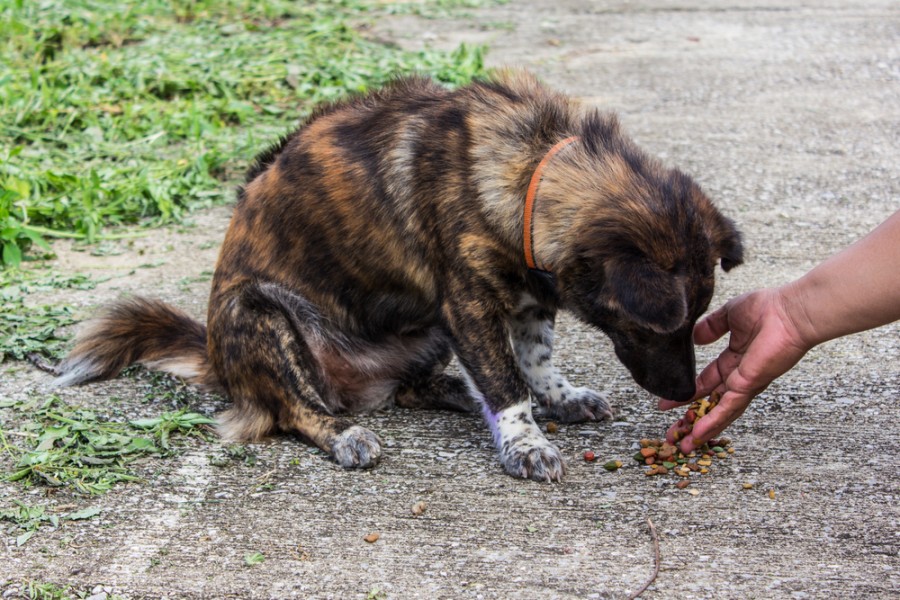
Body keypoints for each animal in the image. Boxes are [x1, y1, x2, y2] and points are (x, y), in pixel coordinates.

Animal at [58, 70, 744, 482]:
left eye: (698, 316)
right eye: (660, 326)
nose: (687, 392)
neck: (534, 168)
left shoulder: (525, 298)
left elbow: (534, 359)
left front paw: (557, 397)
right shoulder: (468, 303)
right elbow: (505, 381)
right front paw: (524, 442)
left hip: (426, 330)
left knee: (411, 390)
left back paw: (453, 392)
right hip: (262, 314)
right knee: (296, 411)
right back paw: (348, 433)